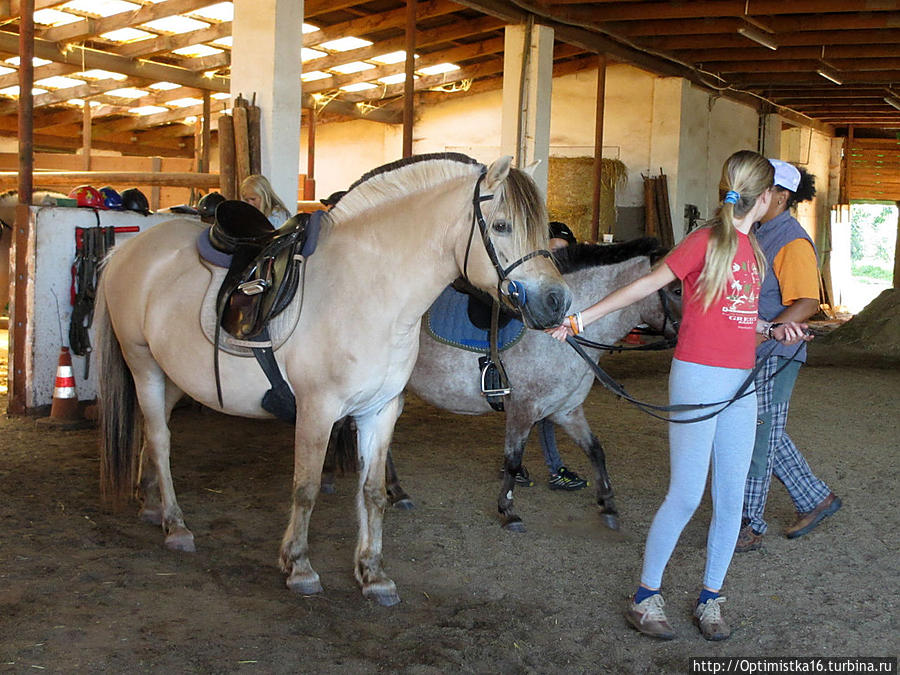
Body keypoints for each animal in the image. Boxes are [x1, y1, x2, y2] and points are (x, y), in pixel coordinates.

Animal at [326, 238, 680, 532]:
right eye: (676, 289)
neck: (557, 334)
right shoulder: (523, 410)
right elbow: (512, 460)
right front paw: (508, 512)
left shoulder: (566, 410)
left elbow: (596, 450)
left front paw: (607, 504)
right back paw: (331, 478)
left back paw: (397, 492)